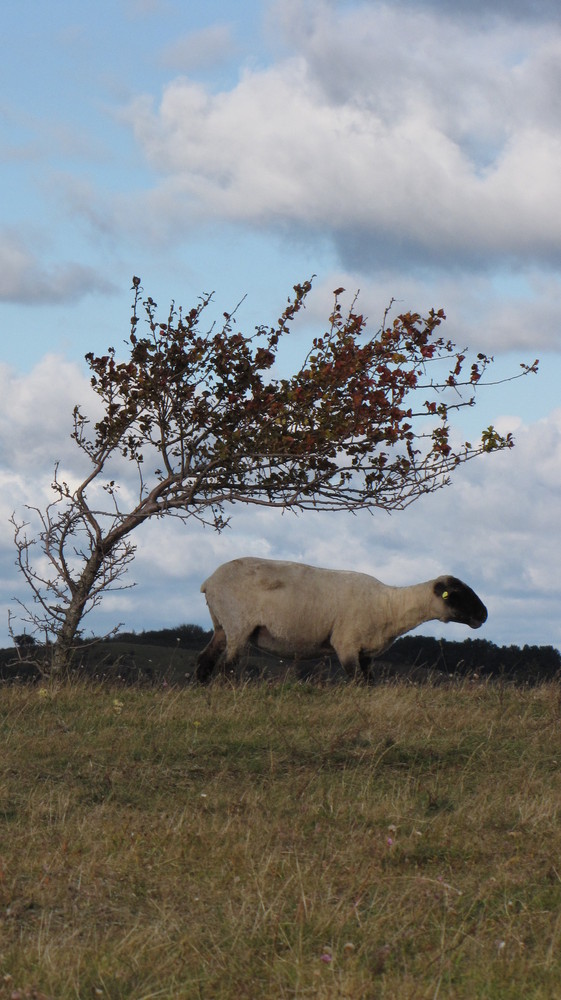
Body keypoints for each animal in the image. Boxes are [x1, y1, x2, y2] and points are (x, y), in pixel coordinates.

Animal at [194, 560, 486, 684]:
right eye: (457, 594)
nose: (483, 615)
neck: (390, 605)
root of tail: (209, 581)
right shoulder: (346, 644)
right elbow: (357, 682)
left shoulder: (366, 652)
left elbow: (369, 683)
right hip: (238, 625)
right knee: (226, 666)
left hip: (221, 625)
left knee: (205, 659)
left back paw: (202, 689)